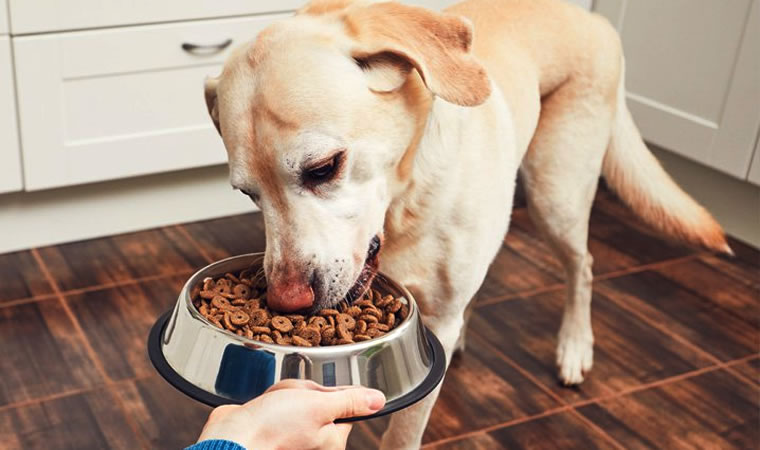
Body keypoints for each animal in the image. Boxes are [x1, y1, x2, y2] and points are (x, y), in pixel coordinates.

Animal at [203, 0, 732, 446]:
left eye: (323, 168)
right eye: (248, 194)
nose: (286, 302)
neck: (405, 201)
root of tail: (592, 17)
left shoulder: (436, 321)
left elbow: (402, 433)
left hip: (556, 195)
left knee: (582, 265)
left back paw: (575, 346)